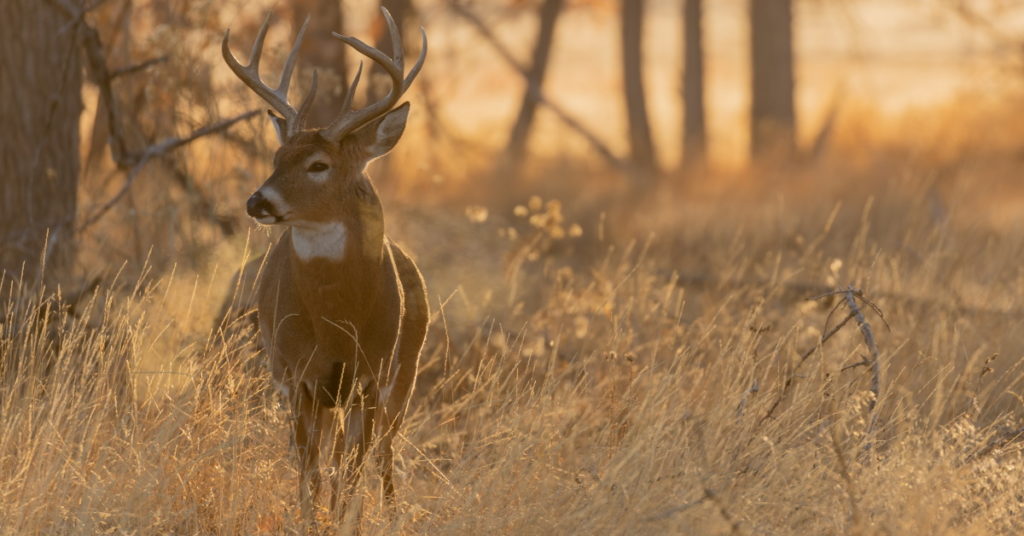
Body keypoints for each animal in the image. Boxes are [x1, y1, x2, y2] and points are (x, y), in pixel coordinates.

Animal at [221, 8, 429, 524]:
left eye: (318, 164)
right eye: (277, 156)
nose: (257, 201)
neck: (337, 322)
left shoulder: (371, 375)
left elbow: (348, 476)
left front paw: (343, 522)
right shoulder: (298, 376)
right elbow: (310, 475)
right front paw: (311, 522)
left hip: (407, 372)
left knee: (384, 455)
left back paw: (391, 514)